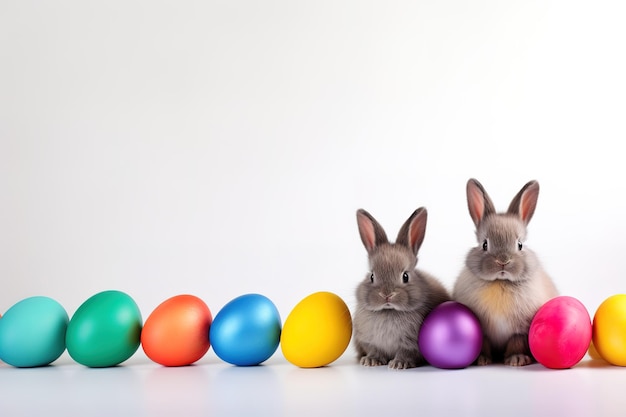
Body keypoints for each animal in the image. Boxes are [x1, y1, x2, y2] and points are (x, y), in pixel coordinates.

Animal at [352, 207, 448, 368]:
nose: (386, 295)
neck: (389, 311)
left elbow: (406, 353)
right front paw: (371, 361)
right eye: (372, 276)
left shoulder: (410, 345)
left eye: (405, 276)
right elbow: (374, 350)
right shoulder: (369, 341)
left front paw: (399, 364)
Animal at [450, 177, 560, 366]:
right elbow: (484, 344)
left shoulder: (520, 331)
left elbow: (516, 343)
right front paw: (481, 360)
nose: (503, 261)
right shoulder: (484, 332)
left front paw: (517, 360)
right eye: (484, 244)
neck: (500, 282)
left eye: (520, 245)